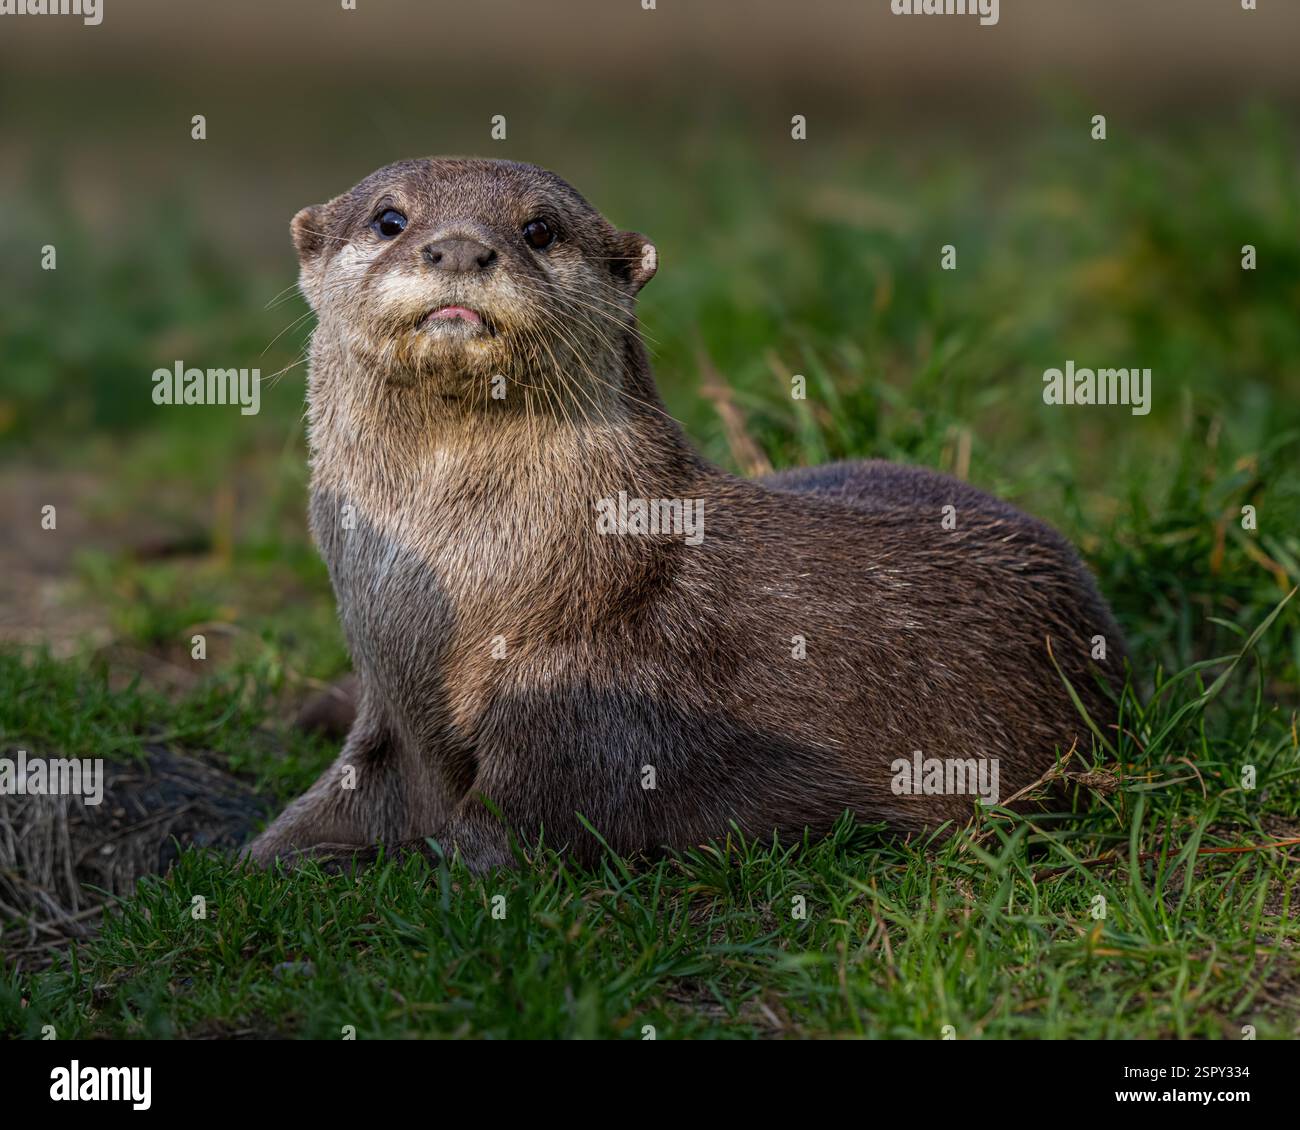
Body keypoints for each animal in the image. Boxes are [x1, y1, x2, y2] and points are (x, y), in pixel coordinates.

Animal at [248, 157, 1127, 872]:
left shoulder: (575, 720)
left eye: (540, 228)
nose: (461, 248)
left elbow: (498, 835)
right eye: (389, 219)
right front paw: (264, 856)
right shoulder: (391, 713)